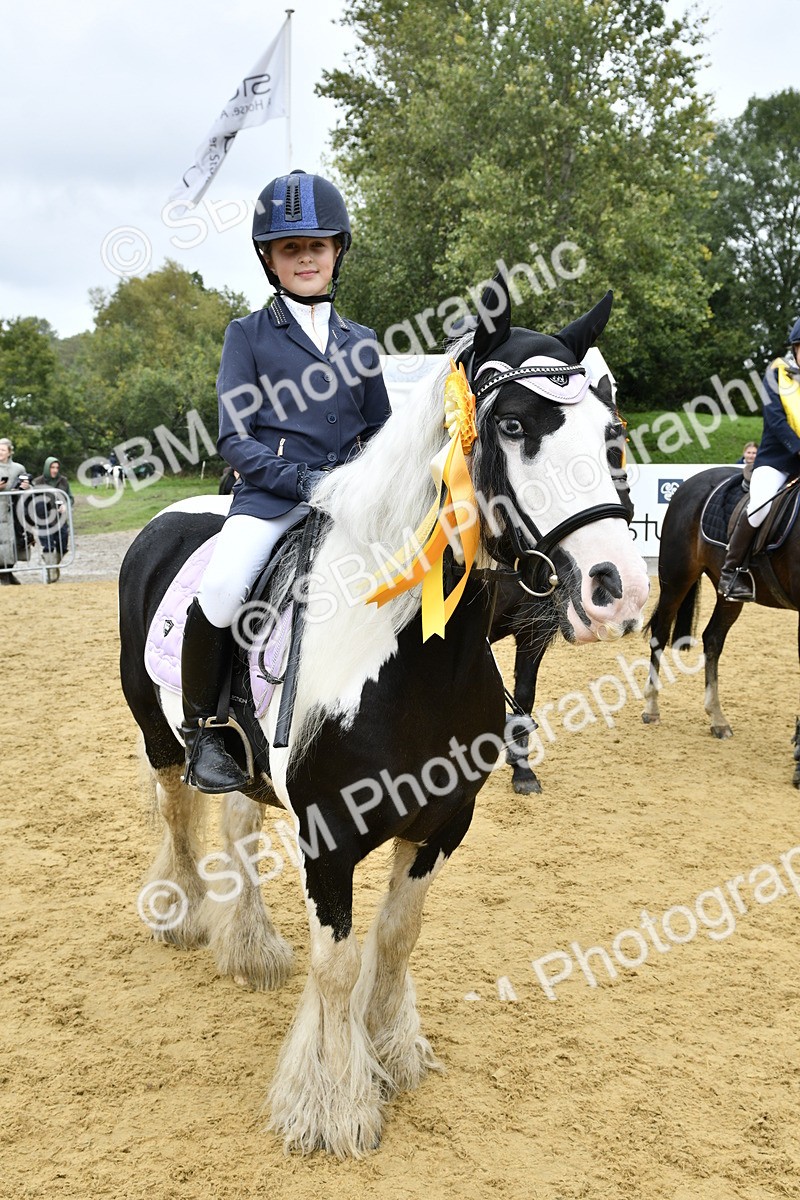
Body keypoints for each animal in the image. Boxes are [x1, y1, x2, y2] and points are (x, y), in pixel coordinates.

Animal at [118, 276, 650, 1157]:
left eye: (610, 433)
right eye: (512, 426)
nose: (619, 588)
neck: (411, 660)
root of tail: (170, 518)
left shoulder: (441, 824)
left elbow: (397, 939)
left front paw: (393, 1053)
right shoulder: (328, 840)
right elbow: (335, 966)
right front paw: (333, 1105)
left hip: (241, 766)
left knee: (235, 825)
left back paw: (251, 949)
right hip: (159, 735)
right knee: (177, 815)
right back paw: (184, 914)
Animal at [642, 465, 800, 786]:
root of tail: (692, 480)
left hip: (727, 592)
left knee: (713, 638)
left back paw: (717, 718)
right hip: (676, 577)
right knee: (660, 635)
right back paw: (652, 707)